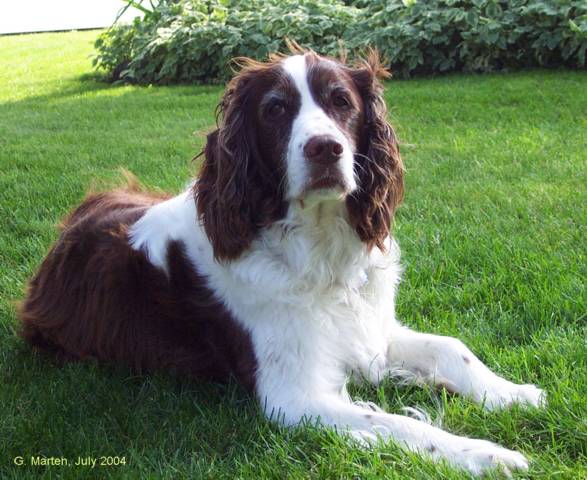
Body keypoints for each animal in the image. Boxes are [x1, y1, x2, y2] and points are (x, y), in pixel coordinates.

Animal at [20, 49, 544, 476]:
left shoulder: (370, 330)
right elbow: (398, 424)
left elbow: (453, 348)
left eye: (342, 102)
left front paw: (513, 394)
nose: (325, 148)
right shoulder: (293, 397)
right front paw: (485, 453)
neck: (319, 249)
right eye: (274, 109)